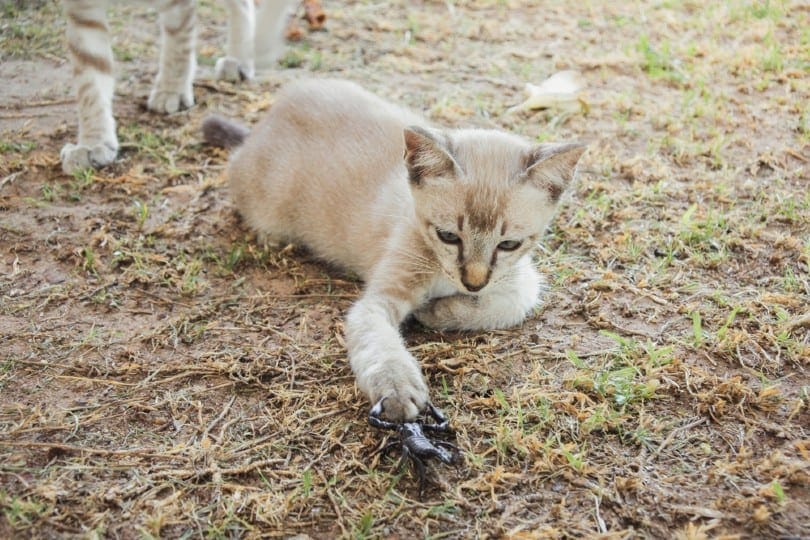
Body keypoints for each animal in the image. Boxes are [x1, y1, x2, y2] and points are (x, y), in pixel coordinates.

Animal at [60, 0, 296, 173]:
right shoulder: (83, 11)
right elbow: (90, 81)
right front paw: (93, 141)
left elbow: (179, 41)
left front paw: (171, 91)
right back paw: (240, 57)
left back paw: (258, 46)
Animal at [201, 78, 580, 420]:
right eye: (448, 236)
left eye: (508, 244)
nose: (472, 283)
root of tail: (267, 119)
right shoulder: (376, 302)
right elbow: (381, 347)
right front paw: (398, 390)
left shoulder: (520, 278)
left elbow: (510, 304)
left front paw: (436, 311)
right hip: (268, 206)